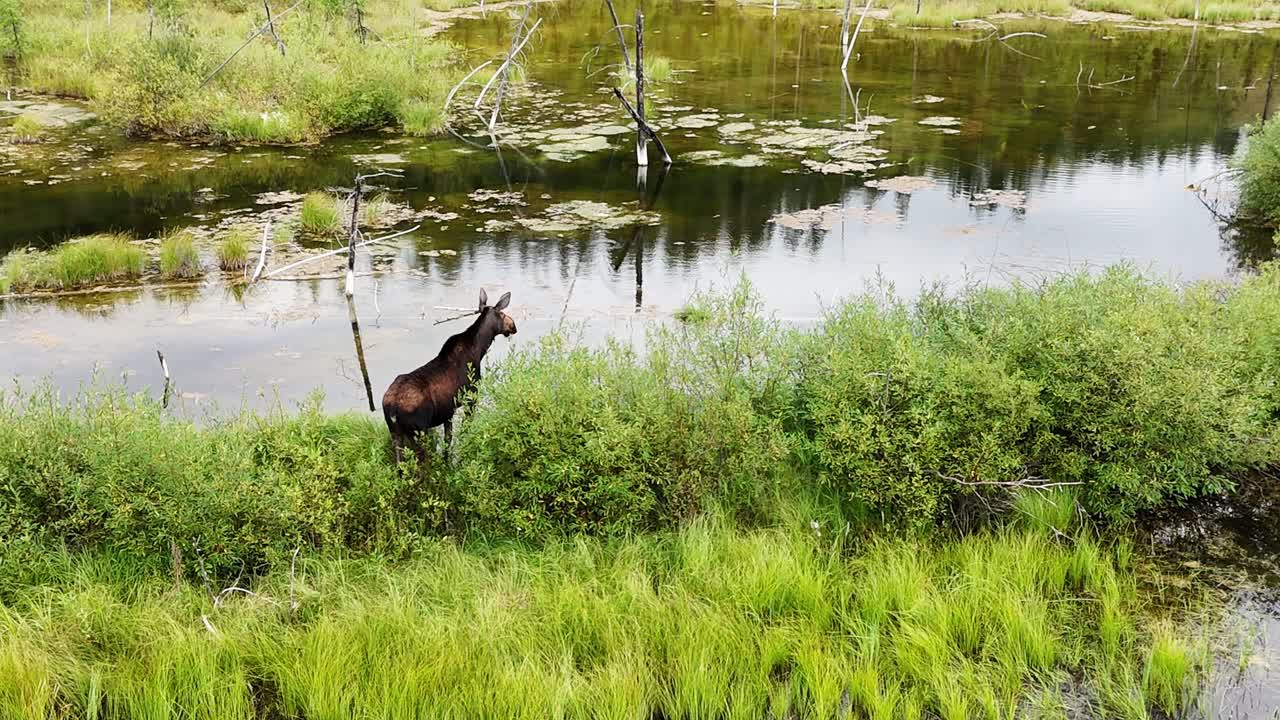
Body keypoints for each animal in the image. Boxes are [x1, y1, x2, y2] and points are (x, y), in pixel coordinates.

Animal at [382, 288, 516, 464]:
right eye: (503, 314)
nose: (513, 326)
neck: (480, 349)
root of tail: (392, 407)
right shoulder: (471, 396)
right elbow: (465, 429)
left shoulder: (448, 412)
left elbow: (448, 440)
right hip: (419, 432)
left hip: (394, 432)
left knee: (400, 463)